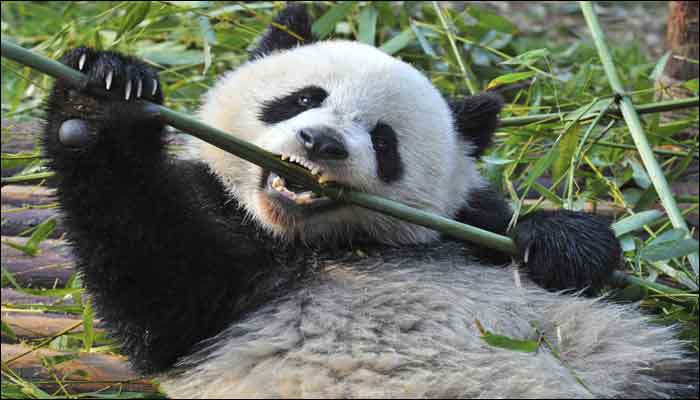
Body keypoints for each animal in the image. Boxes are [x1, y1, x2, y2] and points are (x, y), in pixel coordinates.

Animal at [42, 3, 696, 400]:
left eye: (384, 141)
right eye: (302, 99)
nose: (321, 142)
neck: (317, 245)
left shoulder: (460, 228)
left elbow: (536, 242)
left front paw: (560, 243)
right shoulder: (211, 277)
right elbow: (155, 282)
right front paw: (104, 94)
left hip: (633, 367)